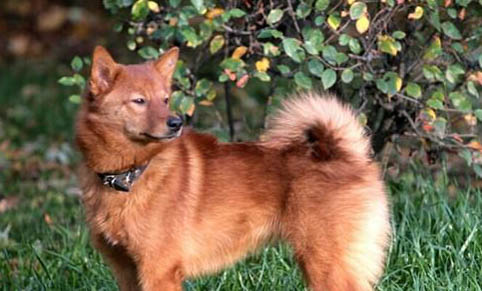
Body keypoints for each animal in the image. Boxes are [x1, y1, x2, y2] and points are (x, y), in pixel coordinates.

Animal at [76, 46, 392, 290]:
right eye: (139, 101)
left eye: (165, 99)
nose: (176, 122)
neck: (131, 174)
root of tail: (347, 156)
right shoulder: (126, 270)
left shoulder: (158, 271)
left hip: (325, 264)